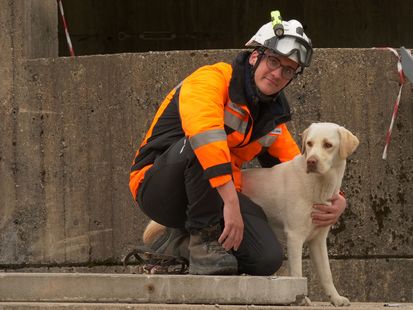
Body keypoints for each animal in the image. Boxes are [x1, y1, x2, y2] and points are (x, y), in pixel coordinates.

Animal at [241, 122, 358, 306]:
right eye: (309, 143)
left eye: (328, 145)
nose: (311, 161)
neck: (320, 185)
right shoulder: (295, 236)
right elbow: (297, 273)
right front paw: (301, 299)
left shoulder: (318, 240)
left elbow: (327, 274)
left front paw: (336, 298)